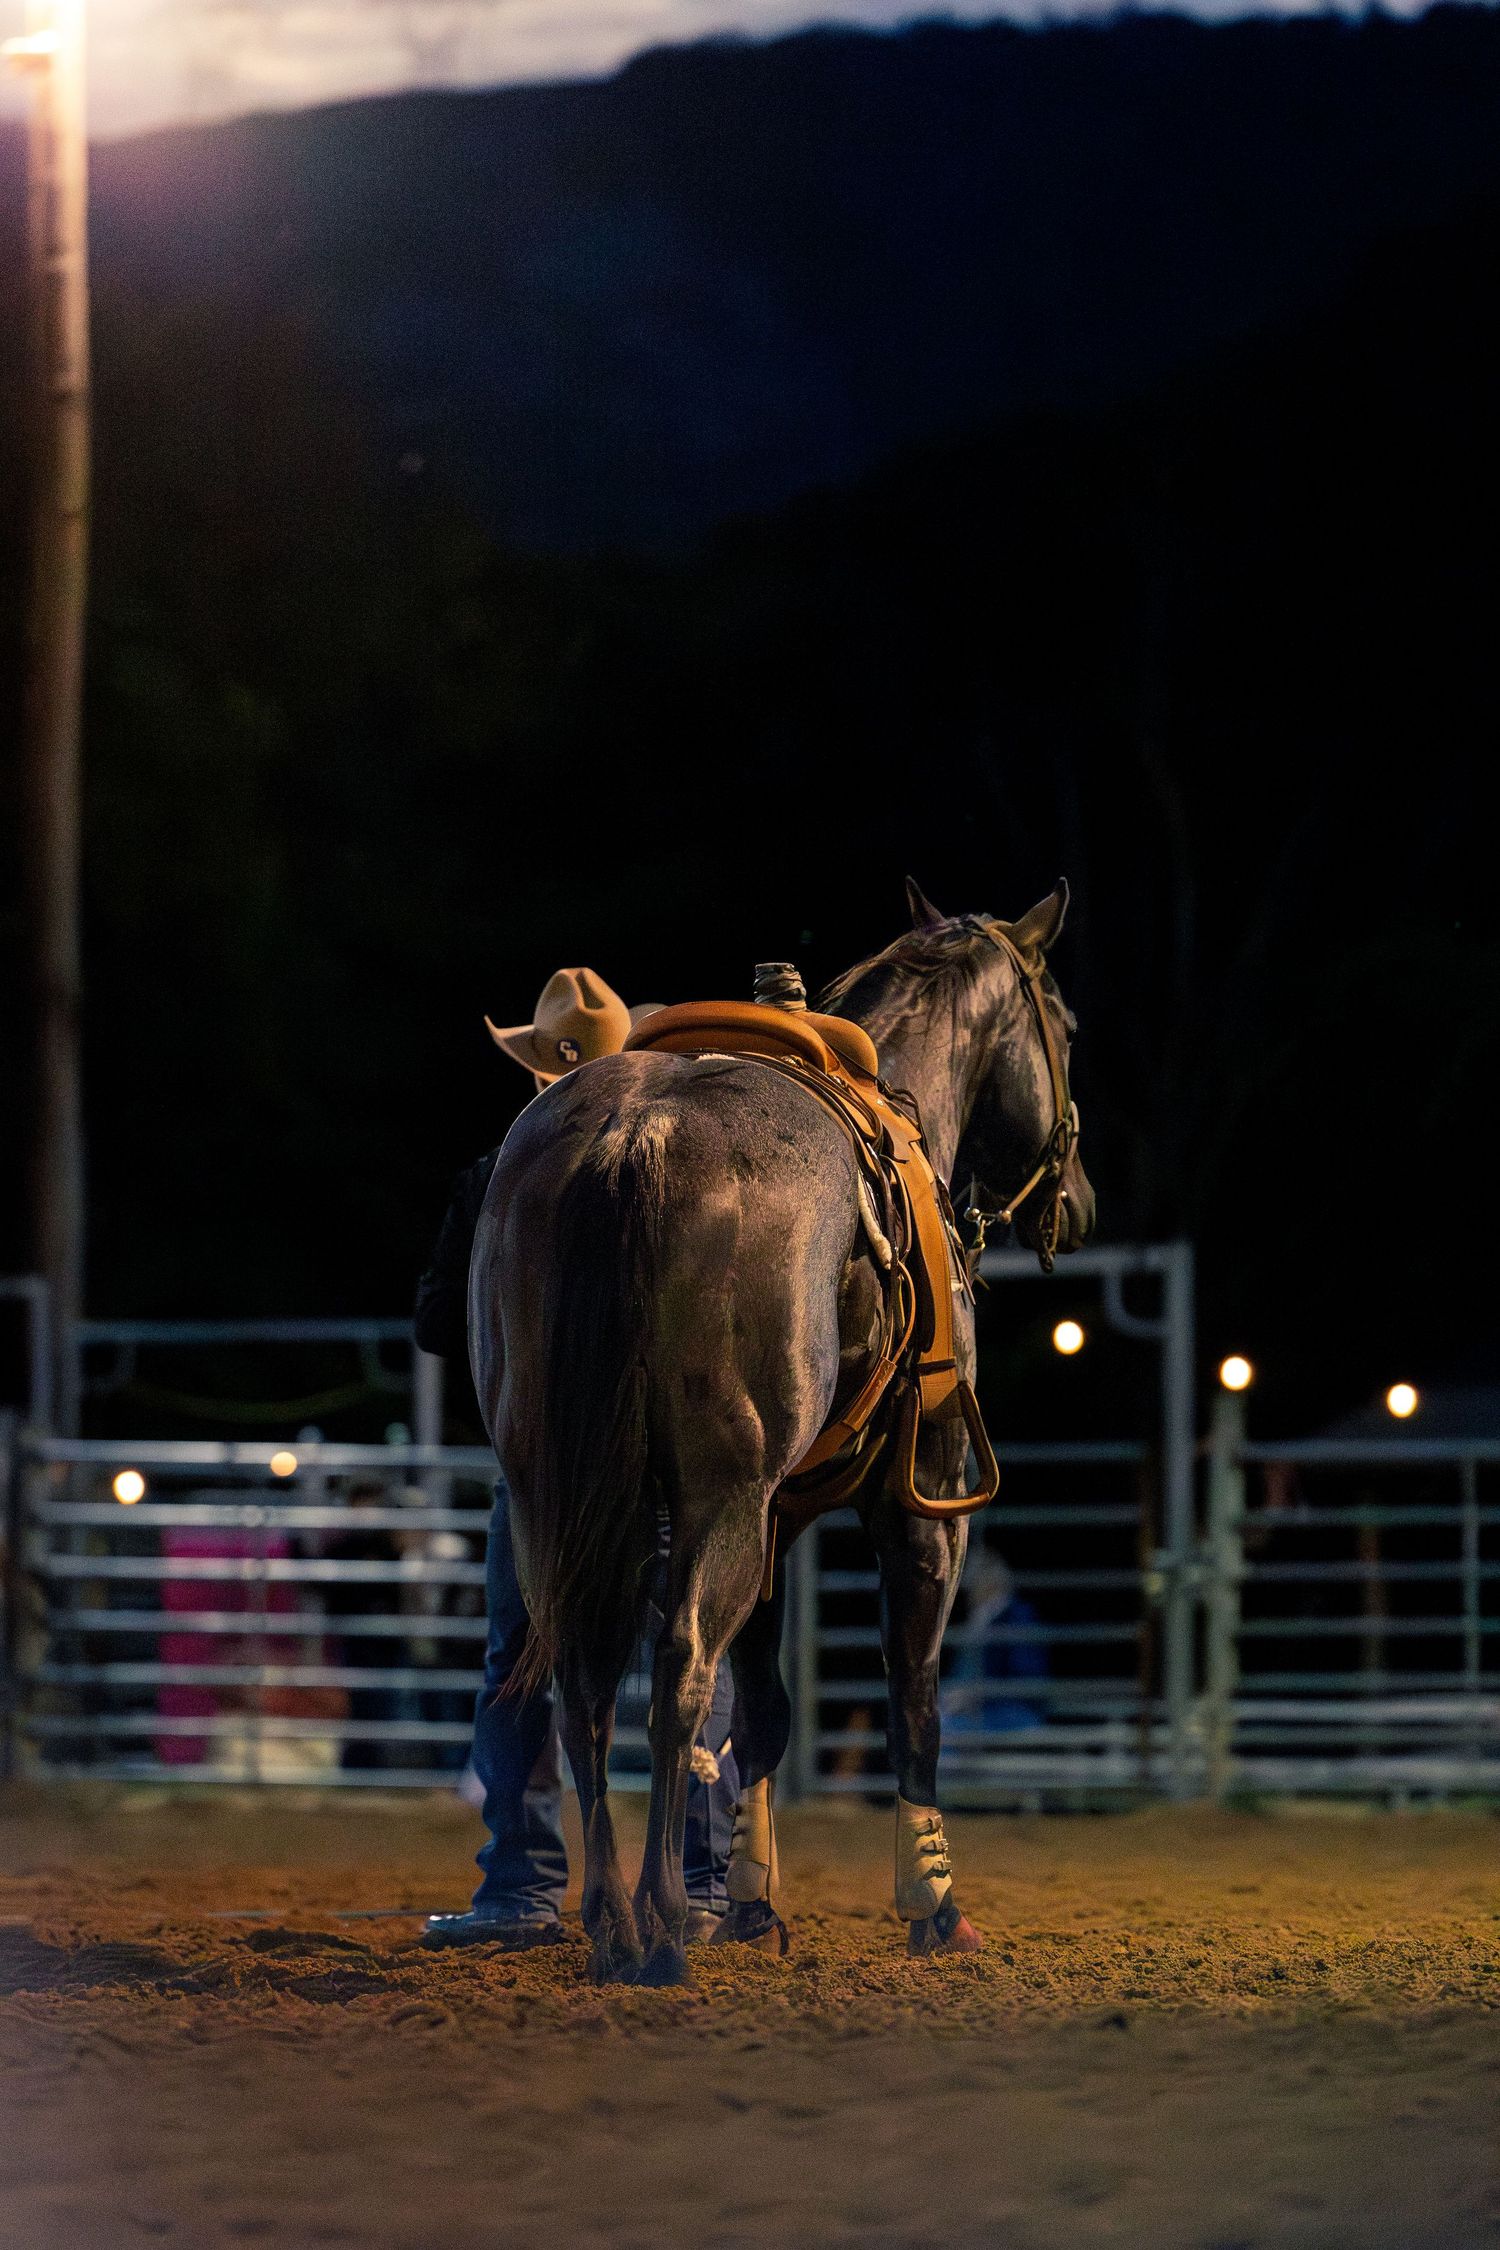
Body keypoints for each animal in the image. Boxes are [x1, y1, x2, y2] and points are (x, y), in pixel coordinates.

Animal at [469, 878, 1095, 1985]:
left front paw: (756, 1901)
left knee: (583, 1679)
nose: (1083, 1201)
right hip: (721, 1496)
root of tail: (635, 1136)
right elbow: (914, 1700)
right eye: (1062, 1020)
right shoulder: (923, 1510)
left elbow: (764, 1709)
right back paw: (661, 1923)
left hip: (564, 1495)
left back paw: (612, 1920)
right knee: (678, 1668)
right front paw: (934, 1903)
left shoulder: (776, 1522)